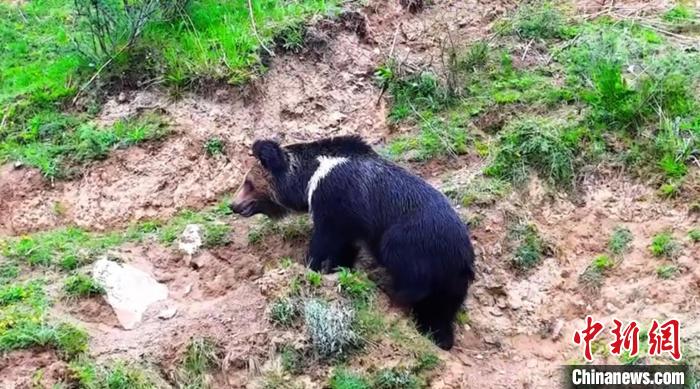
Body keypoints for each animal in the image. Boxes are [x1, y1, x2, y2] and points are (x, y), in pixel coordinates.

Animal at [230, 134, 476, 348]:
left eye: (248, 183)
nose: (233, 205)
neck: (309, 179)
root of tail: (463, 254)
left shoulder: (336, 198)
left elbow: (325, 240)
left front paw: (311, 266)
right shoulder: (349, 218)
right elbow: (345, 247)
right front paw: (337, 268)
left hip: (414, 241)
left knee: (409, 273)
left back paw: (393, 295)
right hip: (452, 282)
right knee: (439, 311)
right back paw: (439, 337)